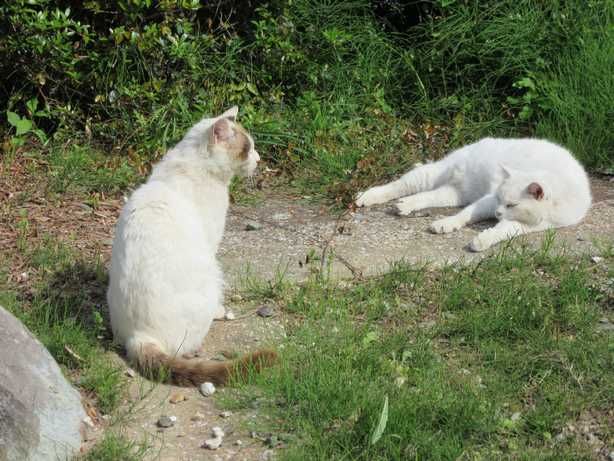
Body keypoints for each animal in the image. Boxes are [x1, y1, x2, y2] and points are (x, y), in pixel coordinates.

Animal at [358, 137, 596, 252]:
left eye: (511, 205)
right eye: (501, 200)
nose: (498, 213)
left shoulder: (535, 225)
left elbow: (504, 231)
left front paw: (482, 240)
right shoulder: (488, 200)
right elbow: (465, 215)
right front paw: (446, 223)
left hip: (454, 194)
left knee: (428, 196)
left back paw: (405, 205)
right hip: (433, 174)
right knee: (401, 184)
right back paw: (367, 197)